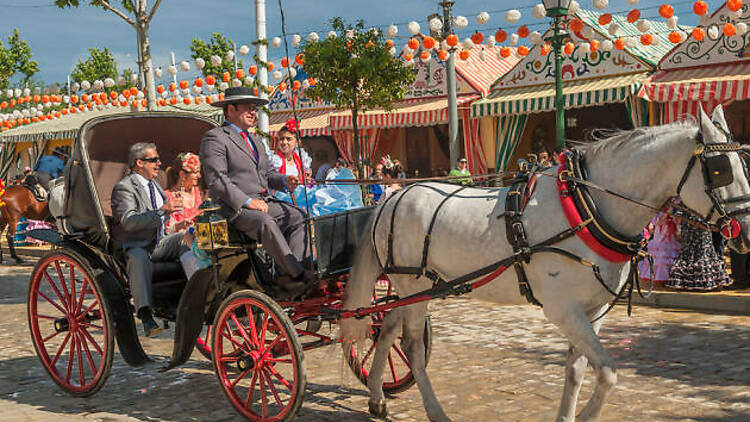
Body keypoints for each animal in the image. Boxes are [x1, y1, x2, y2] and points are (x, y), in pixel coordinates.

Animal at [340, 104, 750, 422]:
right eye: (719, 168)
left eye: (741, 161)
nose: (745, 230)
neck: (587, 207)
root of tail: (391, 199)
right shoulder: (563, 309)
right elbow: (608, 373)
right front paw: (585, 414)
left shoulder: (593, 310)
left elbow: (577, 370)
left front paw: (568, 415)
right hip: (416, 287)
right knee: (411, 346)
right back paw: (435, 410)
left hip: (409, 286)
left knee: (385, 330)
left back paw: (376, 396)